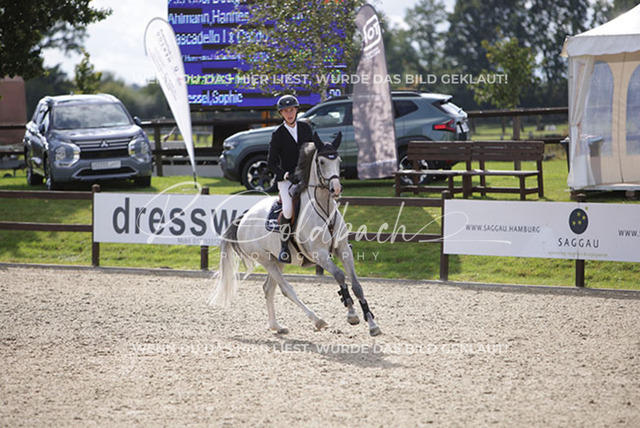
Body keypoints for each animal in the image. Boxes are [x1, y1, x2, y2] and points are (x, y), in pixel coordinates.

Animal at [208, 132, 382, 336]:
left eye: (338, 160)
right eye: (321, 161)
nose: (336, 189)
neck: (325, 210)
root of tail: (243, 218)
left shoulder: (344, 249)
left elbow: (357, 285)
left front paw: (372, 324)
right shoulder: (319, 254)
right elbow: (339, 276)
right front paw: (351, 314)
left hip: (277, 260)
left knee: (268, 289)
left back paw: (276, 326)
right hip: (266, 260)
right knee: (286, 289)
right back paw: (317, 320)